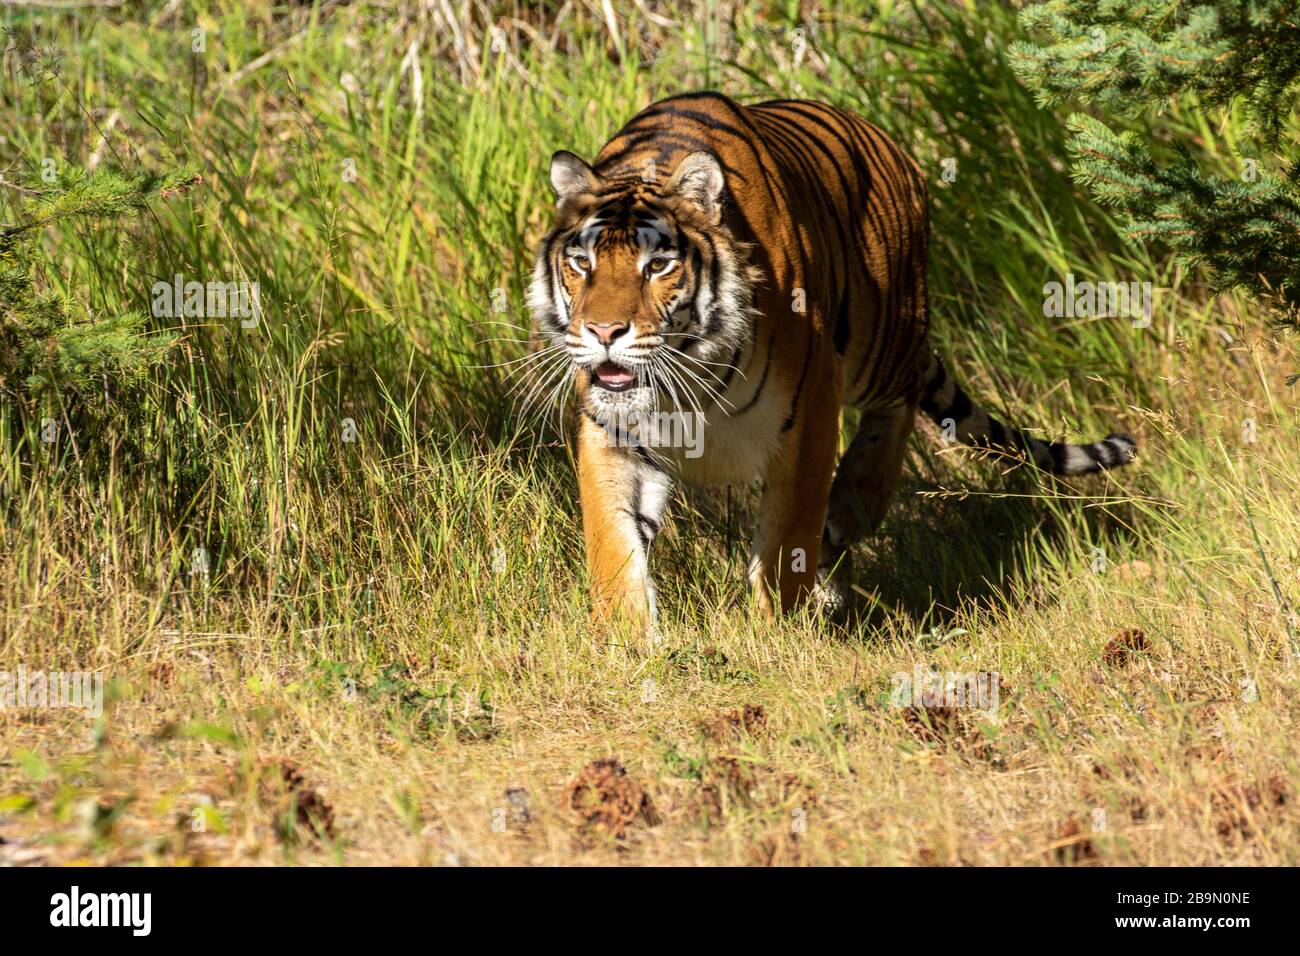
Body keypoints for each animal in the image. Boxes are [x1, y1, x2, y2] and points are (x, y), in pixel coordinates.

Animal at [527, 91, 1138, 629]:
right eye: (582, 263)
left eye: (657, 266)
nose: (604, 332)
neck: (685, 380)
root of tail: (894, 148)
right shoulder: (612, 431)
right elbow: (613, 542)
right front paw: (629, 639)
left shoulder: (808, 410)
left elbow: (785, 540)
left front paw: (776, 631)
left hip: (884, 345)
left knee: (896, 413)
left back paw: (848, 508)